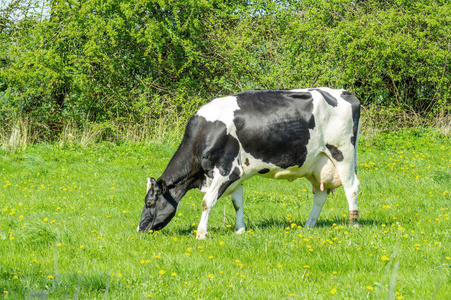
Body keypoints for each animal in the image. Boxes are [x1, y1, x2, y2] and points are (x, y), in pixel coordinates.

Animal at [136, 87, 362, 239]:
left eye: (149, 203)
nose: (139, 229)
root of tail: (345, 93)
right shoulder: (237, 175)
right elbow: (237, 202)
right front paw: (240, 230)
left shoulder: (227, 170)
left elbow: (207, 201)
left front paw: (201, 234)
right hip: (317, 163)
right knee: (320, 195)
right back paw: (308, 226)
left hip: (343, 152)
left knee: (351, 187)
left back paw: (354, 225)